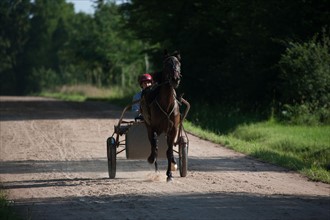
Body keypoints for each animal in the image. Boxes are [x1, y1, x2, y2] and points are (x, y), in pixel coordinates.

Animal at [141, 50, 182, 181]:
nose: (175, 79)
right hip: (148, 125)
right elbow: (155, 146)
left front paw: (170, 174)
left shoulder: (173, 129)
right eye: (167, 65)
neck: (167, 104)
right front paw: (151, 158)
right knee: (153, 143)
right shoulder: (154, 127)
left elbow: (169, 151)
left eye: (178, 64)